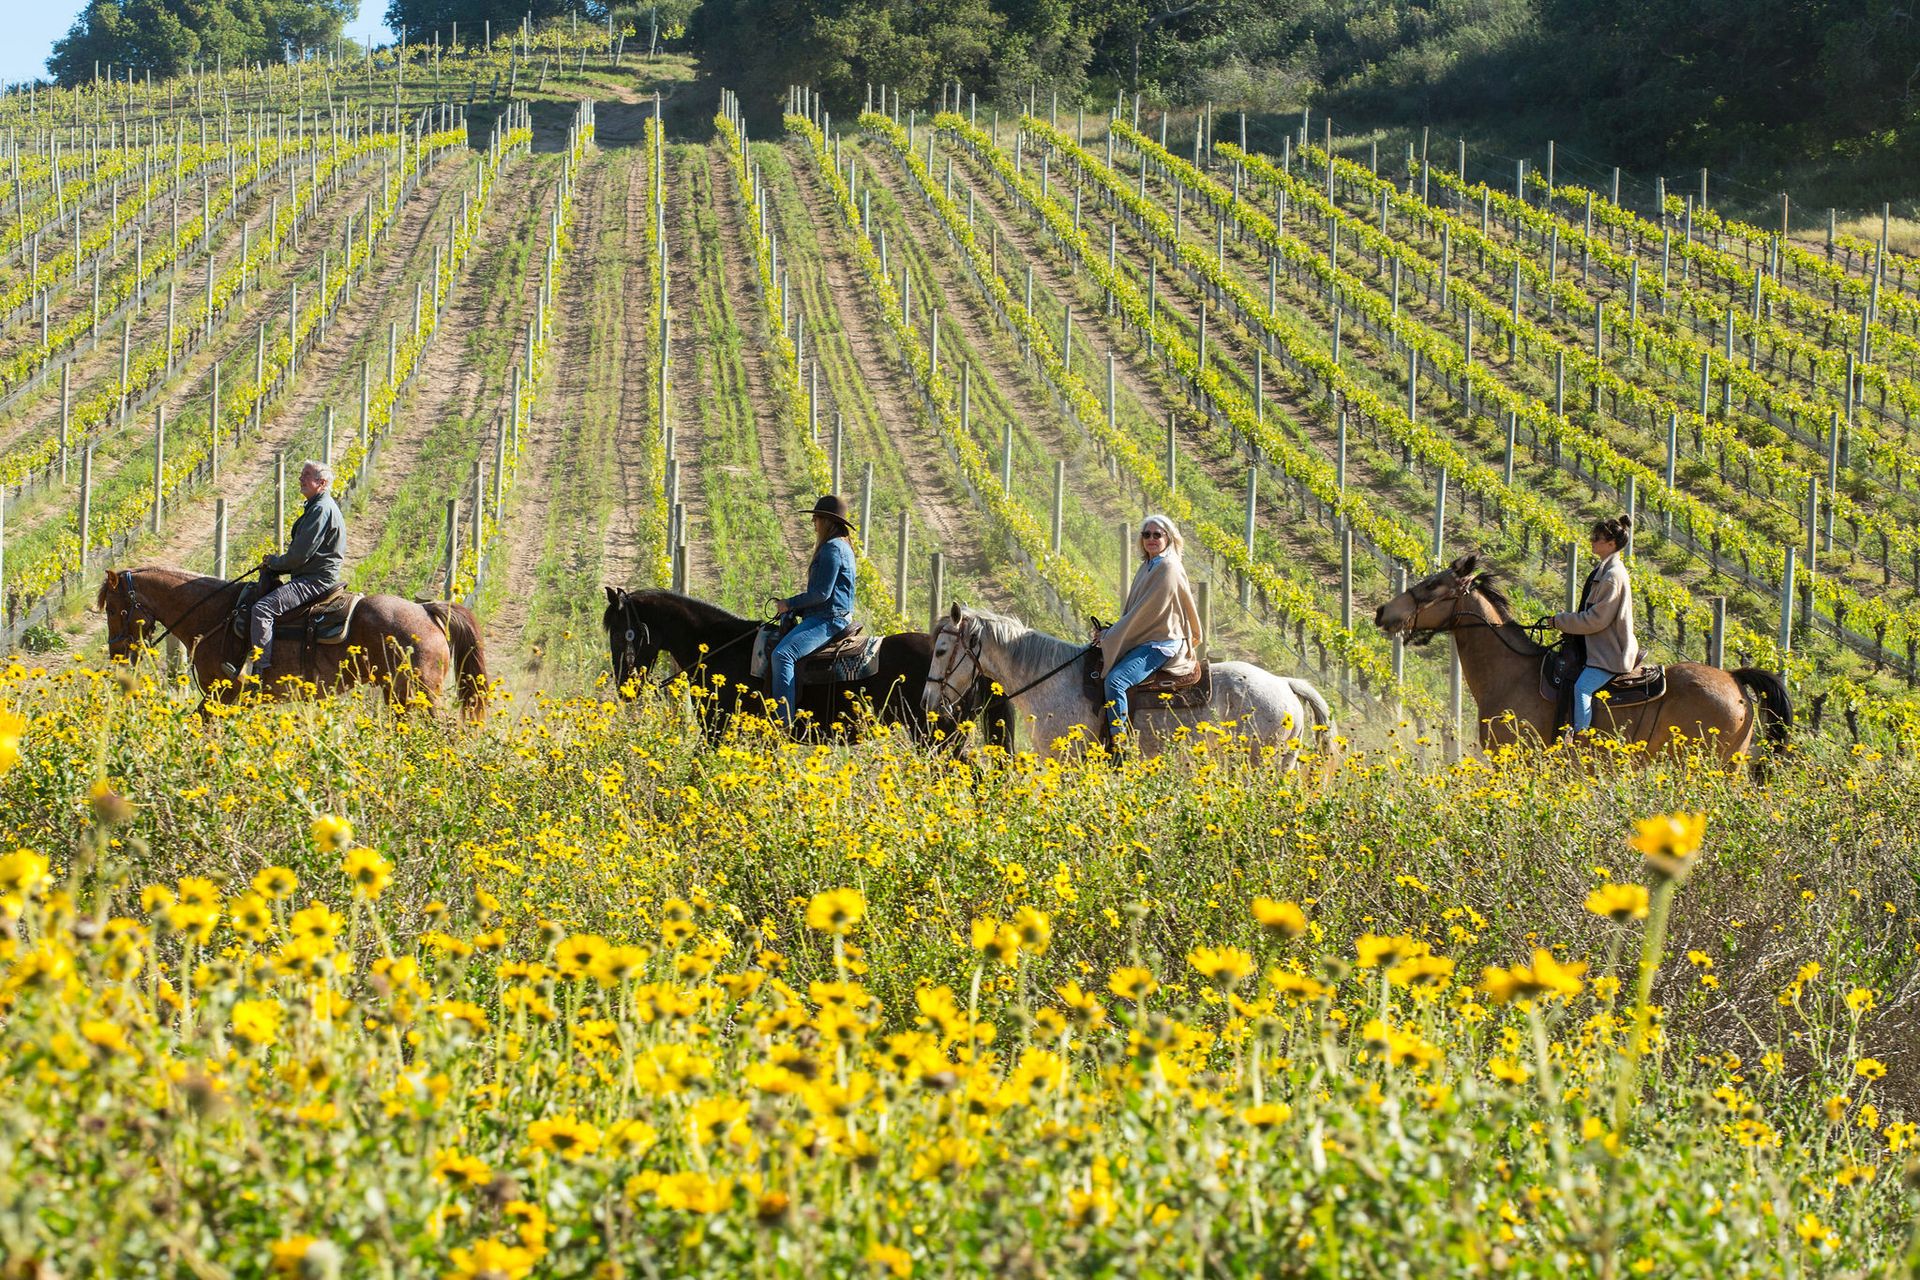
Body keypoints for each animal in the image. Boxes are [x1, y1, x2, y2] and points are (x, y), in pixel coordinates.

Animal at [98, 564, 491, 721]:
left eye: (115, 609)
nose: (117, 654)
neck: (216, 614)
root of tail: (426, 611)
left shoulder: (219, 695)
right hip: (399, 697)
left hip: (418, 695)